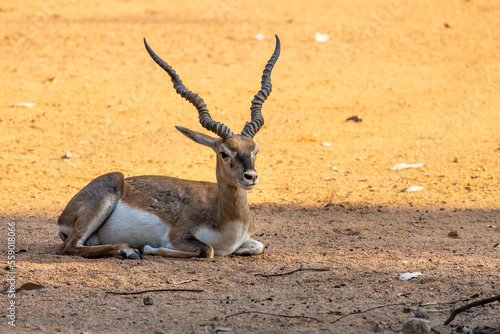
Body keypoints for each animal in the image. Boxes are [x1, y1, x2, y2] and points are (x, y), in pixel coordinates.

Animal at [58, 36, 282, 258]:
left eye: (255, 150)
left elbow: (259, 246)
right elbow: (207, 250)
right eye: (224, 153)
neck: (227, 223)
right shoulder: (178, 235)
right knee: (69, 246)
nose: (251, 177)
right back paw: (129, 250)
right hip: (107, 192)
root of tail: (63, 216)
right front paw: (148, 248)